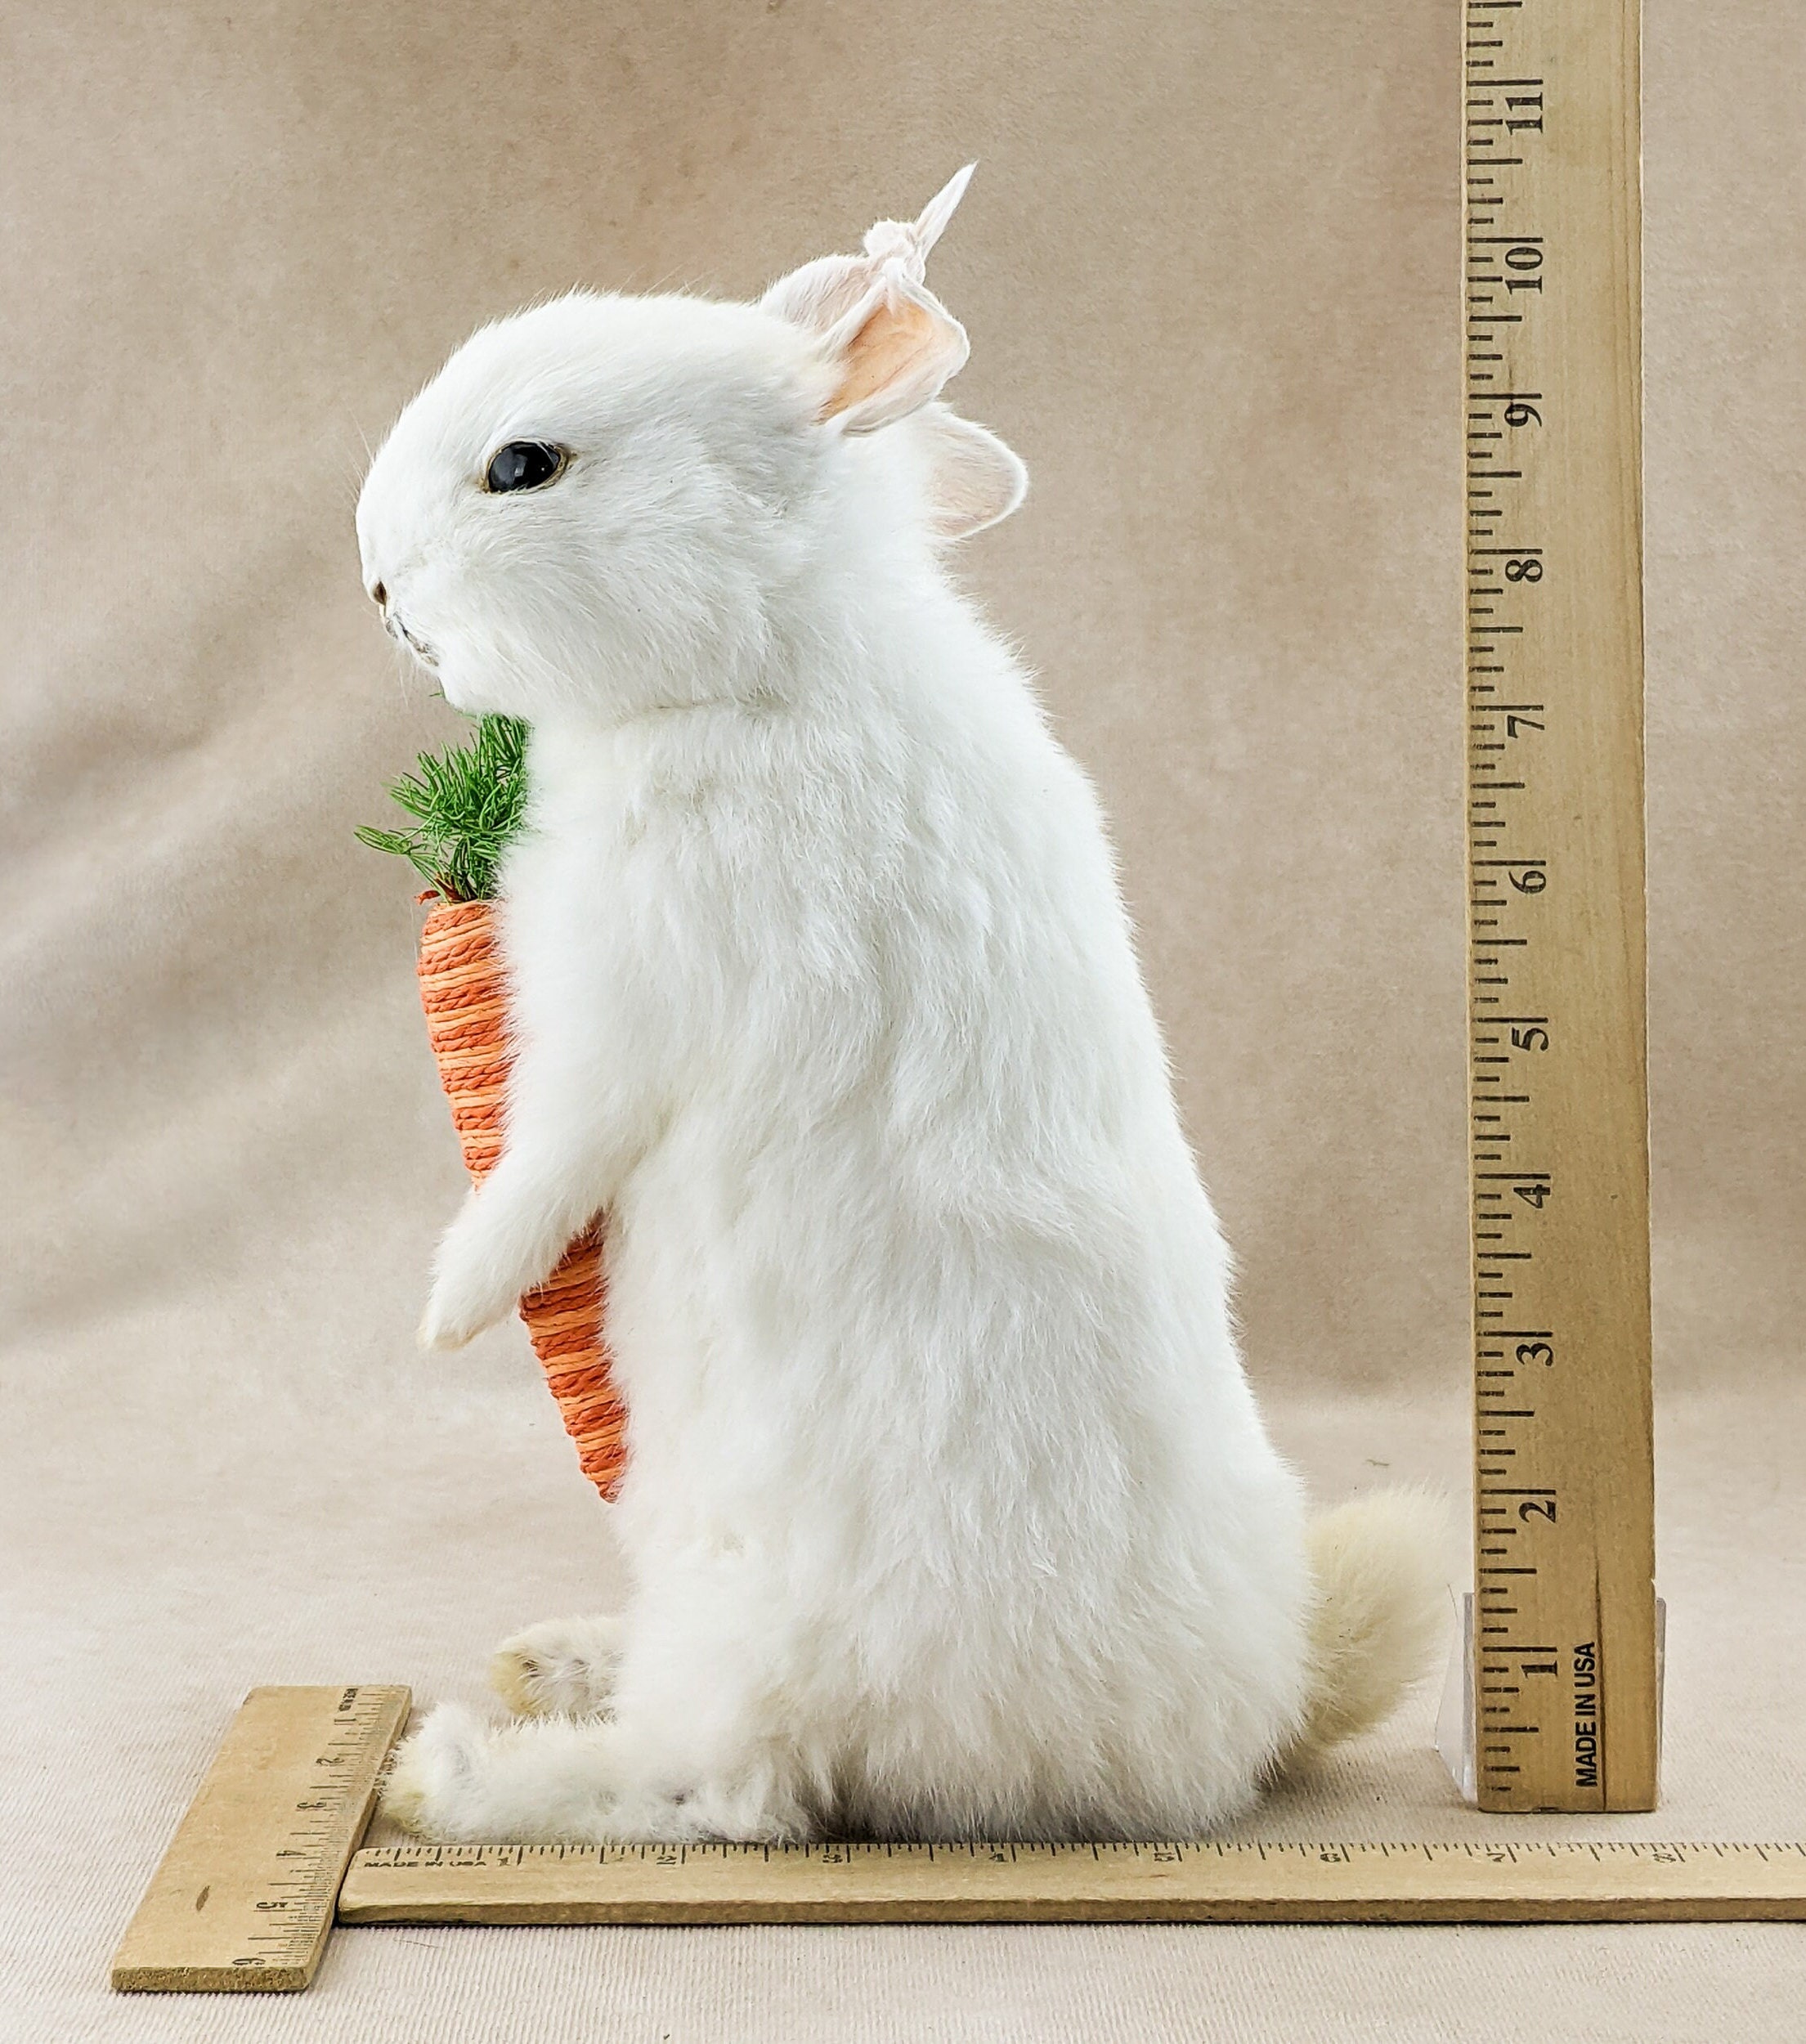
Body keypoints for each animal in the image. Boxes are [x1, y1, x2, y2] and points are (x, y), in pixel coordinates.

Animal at [354, 168, 1445, 1846]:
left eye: (522, 464)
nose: (378, 585)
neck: (761, 663)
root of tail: (1208, 1742)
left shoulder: (627, 1006)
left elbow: (546, 1166)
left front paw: (446, 1308)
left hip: (759, 1639)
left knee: (725, 1792)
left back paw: (462, 1765)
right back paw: (554, 1661)